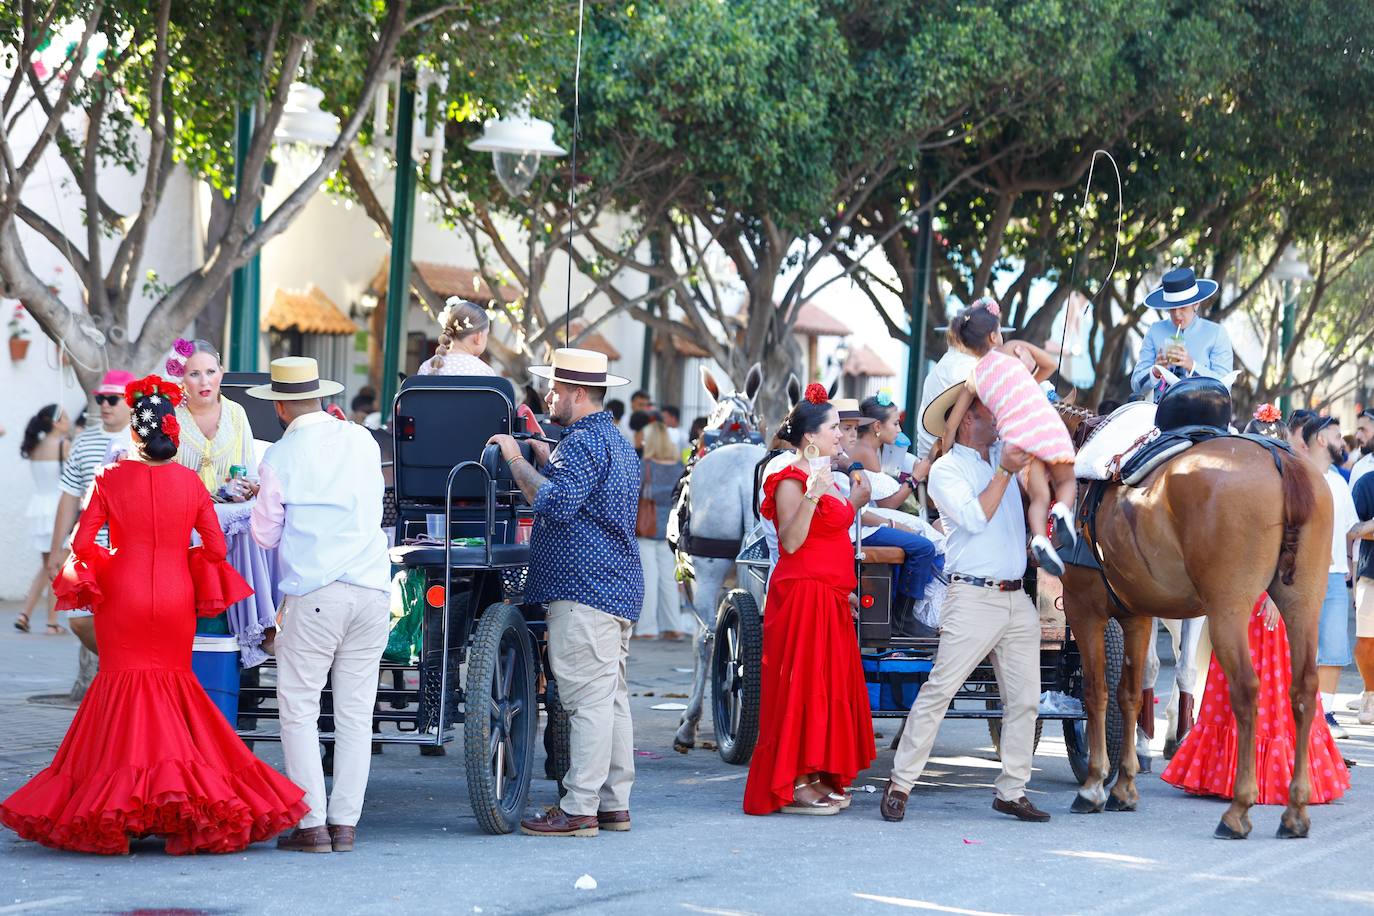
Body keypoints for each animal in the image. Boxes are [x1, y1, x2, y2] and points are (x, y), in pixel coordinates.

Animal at [1049, 403, 1330, 840]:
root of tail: (1280, 458)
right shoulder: (1137, 616)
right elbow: (1130, 694)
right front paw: (1124, 788)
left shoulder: (1085, 610)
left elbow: (1096, 693)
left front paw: (1094, 785)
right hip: (1303, 603)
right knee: (1303, 690)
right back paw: (1295, 812)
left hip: (1226, 610)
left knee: (1246, 690)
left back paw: (1238, 810)